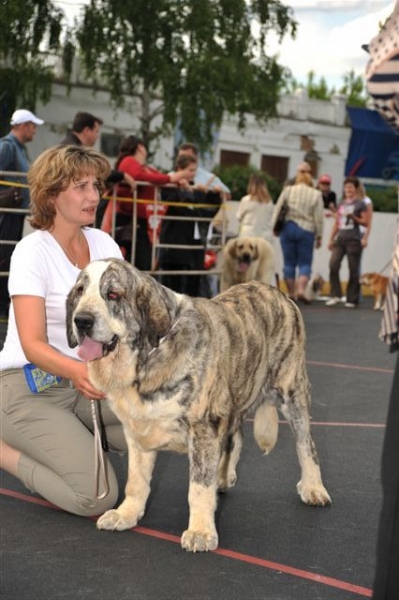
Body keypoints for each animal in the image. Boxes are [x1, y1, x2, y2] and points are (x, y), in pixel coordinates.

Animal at [68, 258, 332, 552]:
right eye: (80, 291)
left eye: (113, 294)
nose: (82, 320)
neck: (147, 359)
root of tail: (278, 293)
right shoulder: (137, 431)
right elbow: (136, 481)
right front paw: (126, 514)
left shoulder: (204, 426)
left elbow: (198, 486)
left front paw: (201, 532)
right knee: (235, 437)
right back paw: (224, 476)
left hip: (292, 390)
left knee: (306, 444)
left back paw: (313, 488)